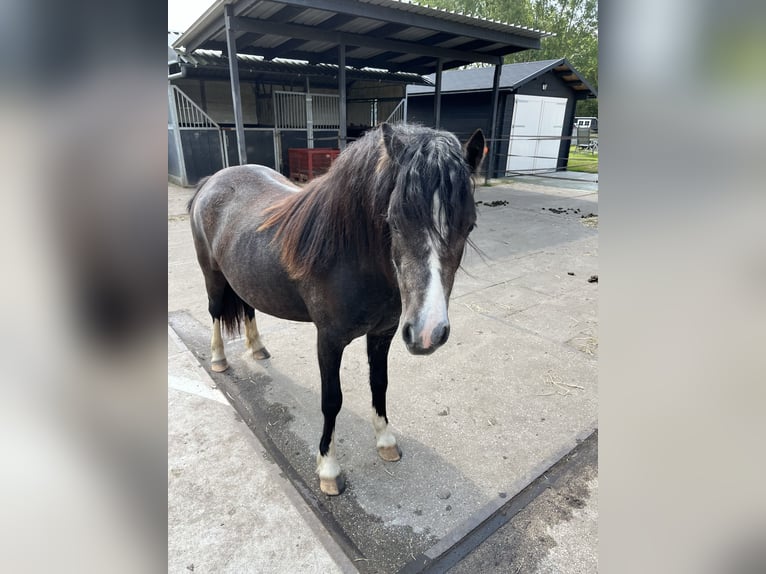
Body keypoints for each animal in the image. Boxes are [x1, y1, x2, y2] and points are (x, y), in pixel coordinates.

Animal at [188, 124, 486, 498]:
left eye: (469, 225)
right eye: (394, 221)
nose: (427, 333)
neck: (351, 255)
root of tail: (212, 180)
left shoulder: (383, 333)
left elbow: (380, 384)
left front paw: (385, 441)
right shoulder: (328, 340)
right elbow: (332, 400)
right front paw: (328, 469)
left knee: (249, 309)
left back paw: (257, 349)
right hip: (211, 274)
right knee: (215, 312)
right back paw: (218, 359)